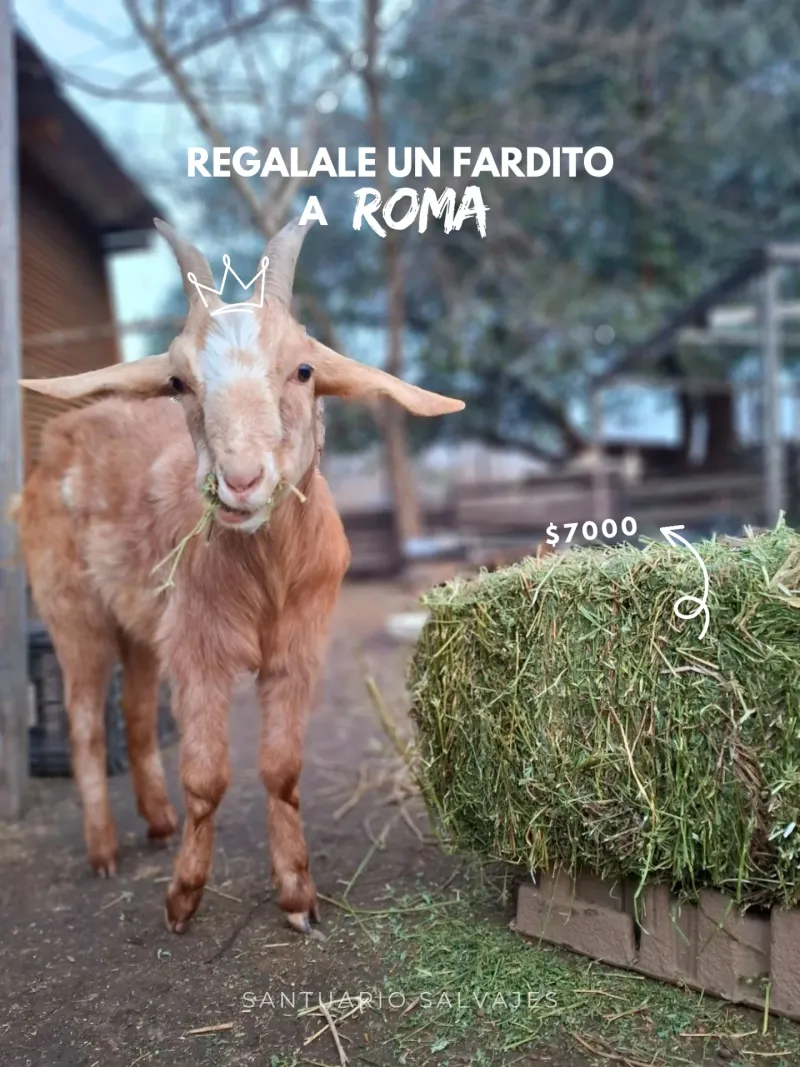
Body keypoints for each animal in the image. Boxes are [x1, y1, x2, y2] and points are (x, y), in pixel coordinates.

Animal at [17, 218, 464, 936]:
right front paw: (183, 899)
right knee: (86, 721)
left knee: (134, 712)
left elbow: (281, 769)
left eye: (304, 369)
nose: (242, 480)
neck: (266, 574)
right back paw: (104, 851)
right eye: (177, 381)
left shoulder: (295, 646)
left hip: (141, 625)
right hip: (71, 608)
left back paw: (157, 824)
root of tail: (59, 438)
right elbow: (206, 777)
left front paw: (297, 896)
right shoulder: (200, 648)